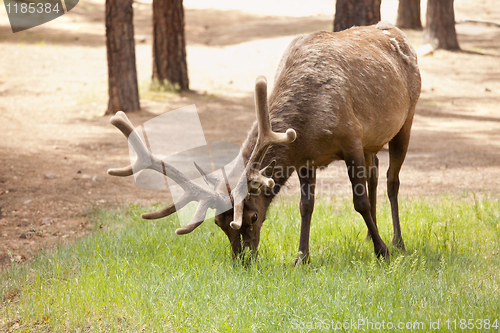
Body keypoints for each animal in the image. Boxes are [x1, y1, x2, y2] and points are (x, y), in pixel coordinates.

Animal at [107, 22, 420, 264]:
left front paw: (381, 252)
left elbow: (359, 202)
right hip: (373, 141)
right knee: (375, 172)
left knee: (391, 180)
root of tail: (401, 35)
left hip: (406, 119)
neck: (307, 126)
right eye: (219, 223)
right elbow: (306, 205)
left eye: (254, 216)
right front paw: (301, 257)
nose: (242, 261)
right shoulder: (306, 158)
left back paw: (397, 242)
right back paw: (370, 234)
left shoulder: (352, 138)